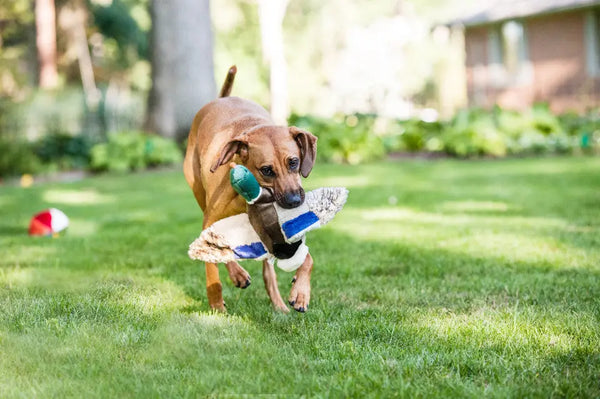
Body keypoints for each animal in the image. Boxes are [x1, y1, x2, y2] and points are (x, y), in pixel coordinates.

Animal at [184, 67, 318, 314]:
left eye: (294, 162)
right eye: (266, 170)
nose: (294, 201)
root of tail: (221, 99)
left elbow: (308, 259)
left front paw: (301, 293)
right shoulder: (209, 221)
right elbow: (212, 269)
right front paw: (216, 305)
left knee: (267, 271)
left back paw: (278, 304)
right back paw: (237, 275)